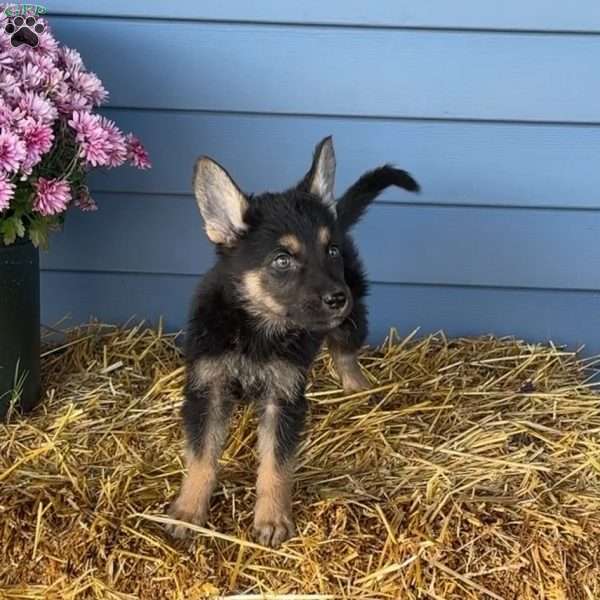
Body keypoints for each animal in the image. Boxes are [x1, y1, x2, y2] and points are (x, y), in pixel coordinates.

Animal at [166, 138, 420, 548]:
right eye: (282, 260)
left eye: (330, 251)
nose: (337, 298)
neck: (256, 329)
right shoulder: (209, 389)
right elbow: (202, 458)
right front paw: (189, 512)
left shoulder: (282, 396)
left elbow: (276, 464)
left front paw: (272, 519)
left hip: (352, 318)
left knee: (345, 351)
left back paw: (357, 388)